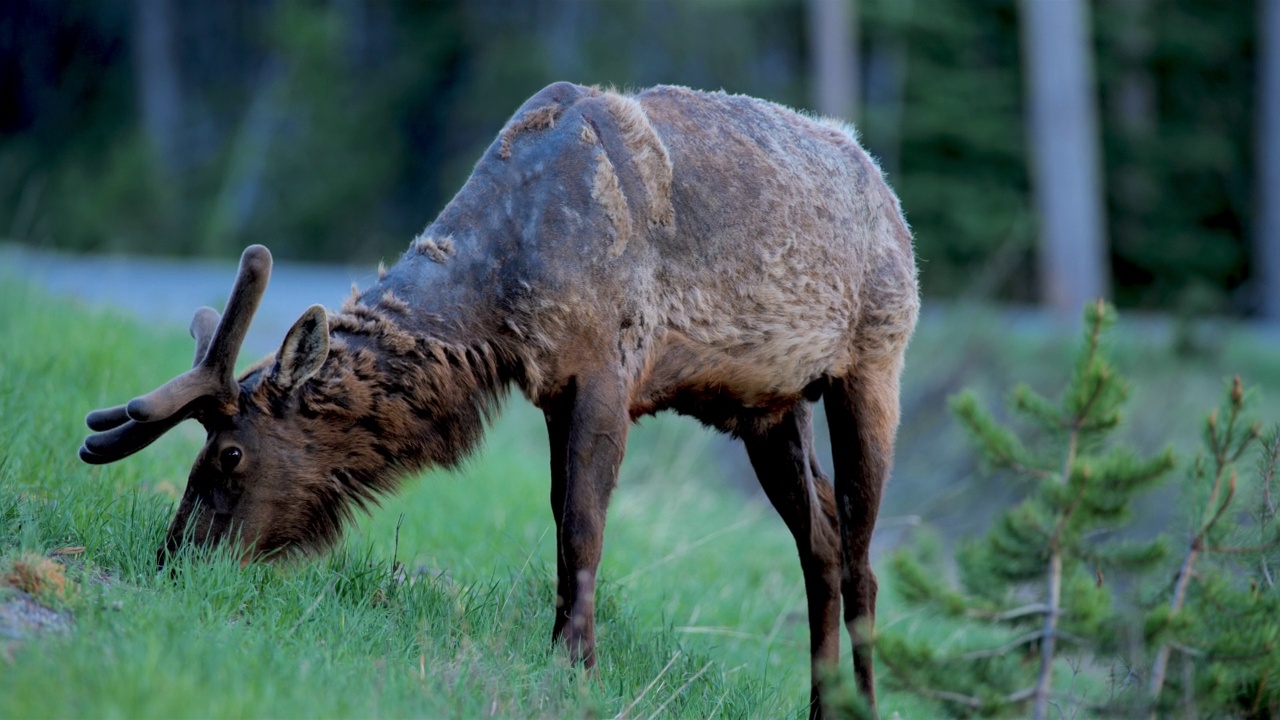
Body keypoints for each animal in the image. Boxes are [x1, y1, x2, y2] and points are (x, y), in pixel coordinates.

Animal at [80, 82, 916, 712]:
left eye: (229, 454)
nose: (172, 560)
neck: (498, 294)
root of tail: (890, 193)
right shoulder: (553, 388)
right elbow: (560, 524)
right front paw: (565, 653)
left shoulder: (607, 370)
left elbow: (582, 529)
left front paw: (575, 667)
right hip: (771, 407)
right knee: (820, 541)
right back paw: (821, 703)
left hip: (874, 364)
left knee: (862, 554)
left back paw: (865, 703)